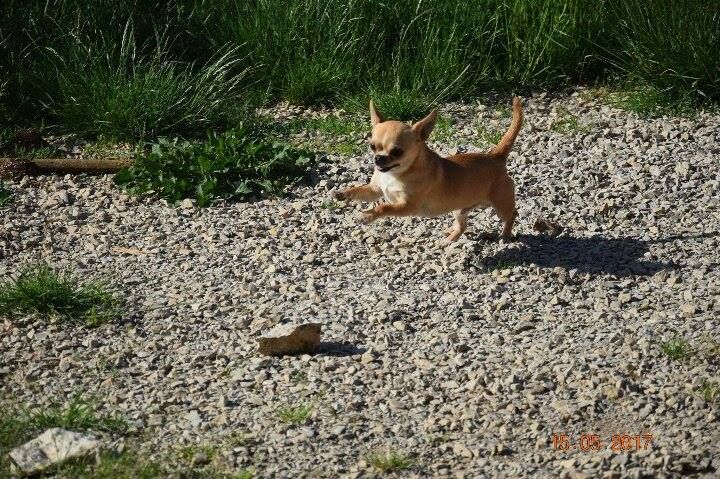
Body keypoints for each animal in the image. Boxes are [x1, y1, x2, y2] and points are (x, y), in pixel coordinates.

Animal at [332, 96, 524, 244]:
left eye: (397, 151)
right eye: (372, 146)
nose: (378, 158)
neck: (398, 174)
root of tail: (496, 156)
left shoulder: (407, 206)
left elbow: (383, 207)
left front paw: (366, 216)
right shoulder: (375, 190)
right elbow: (359, 190)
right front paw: (342, 193)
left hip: (501, 206)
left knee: (512, 214)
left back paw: (505, 235)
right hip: (460, 210)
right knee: (463, 225)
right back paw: (451, 238)